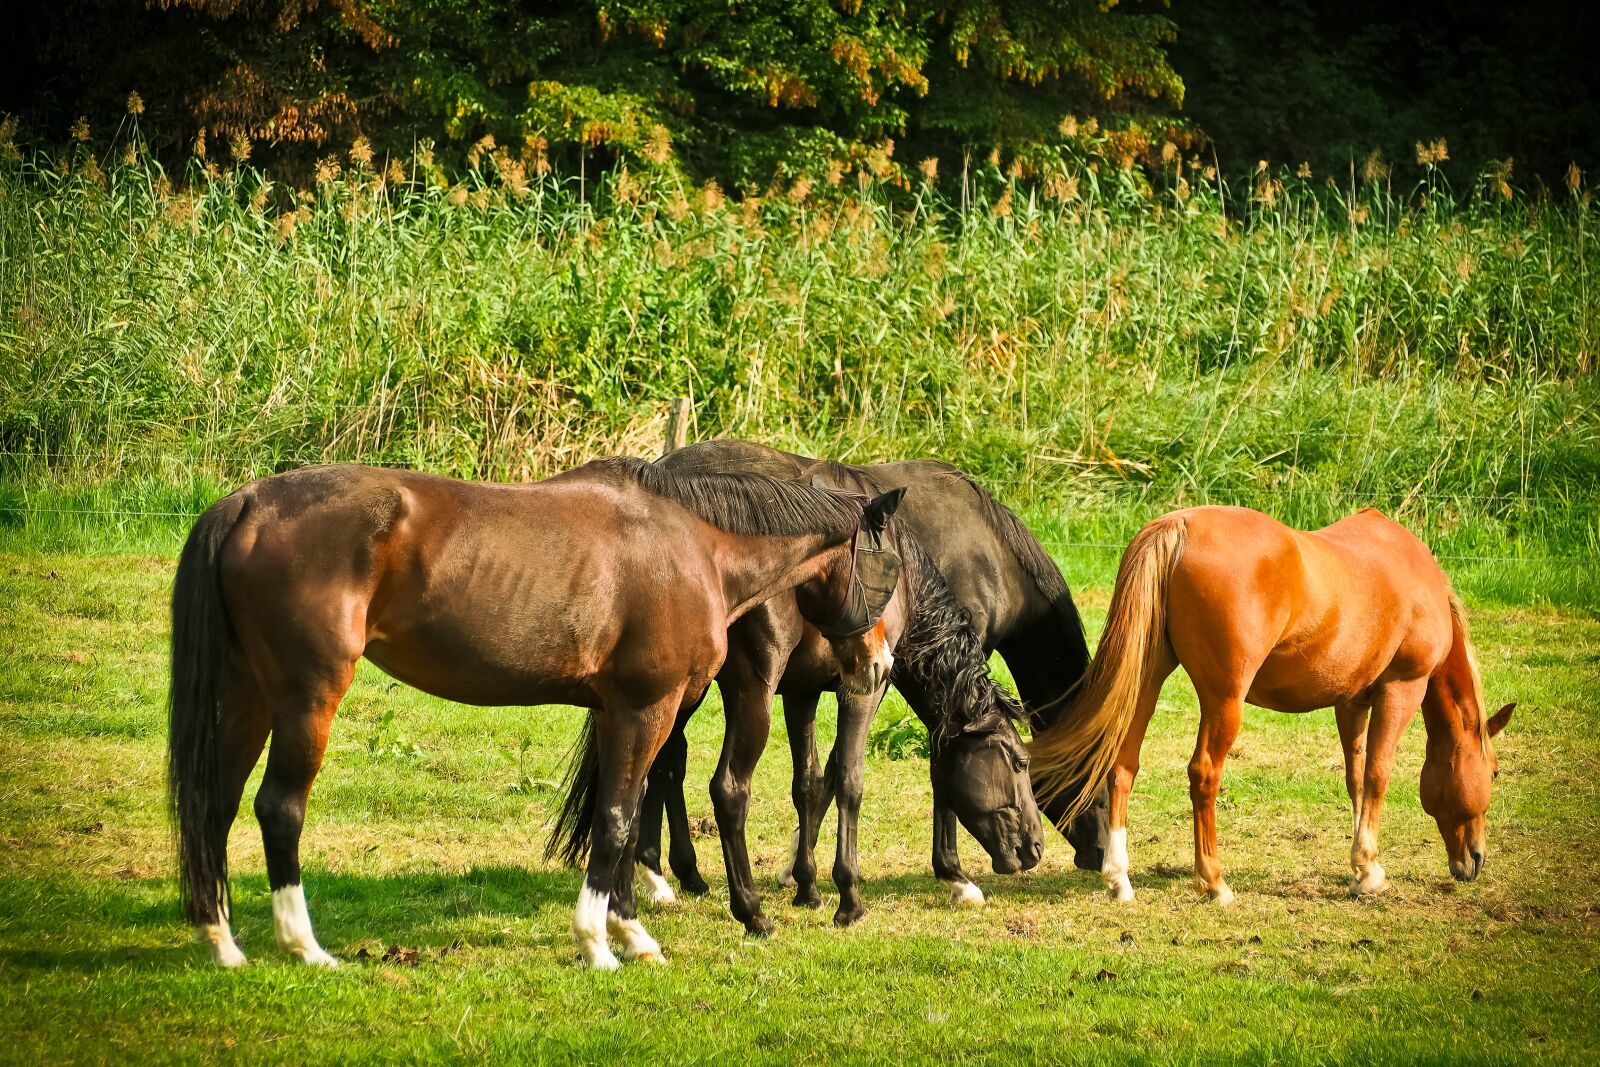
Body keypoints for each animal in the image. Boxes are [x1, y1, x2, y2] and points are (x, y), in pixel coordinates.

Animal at [167, 458, 906, 970]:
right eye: (889, 569)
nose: (878, 667)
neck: (695, 548)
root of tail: (248, 502)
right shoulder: (647, 709)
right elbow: (616, 819)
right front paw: (598, 943)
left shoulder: (619, 712)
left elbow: (623, 816)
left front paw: (630, 931)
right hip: (306, 698)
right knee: (278, 807)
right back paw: (304, 945)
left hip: (248, 694)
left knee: (216, 801)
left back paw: (222, 940)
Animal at [620, 440, 1108, 916]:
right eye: (1020, 763)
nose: (1099, 854)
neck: (984, 553)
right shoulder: (873, 683)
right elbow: (874, 774)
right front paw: (946, 877)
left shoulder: (808, 688)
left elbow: (813, 779)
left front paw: (804, 879)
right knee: (682, 766)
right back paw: (664, 878)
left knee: (663, 760)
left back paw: (672, 875)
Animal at [1029, 505, 1515, 905]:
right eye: (1494, 772)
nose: (1476, 859)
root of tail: (1178, 526)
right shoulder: (1401, 689)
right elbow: (1378, 776)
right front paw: (1371, 872)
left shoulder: (1351, 704)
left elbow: (1356, 780)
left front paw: (1359, 869)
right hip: (1224, 701)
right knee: (1204, 774)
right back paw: (1214, 883)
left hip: (1146, 682)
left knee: (1123, 766)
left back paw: (1119, 879)